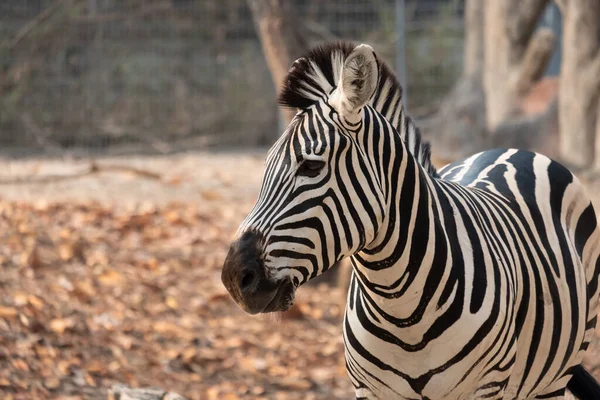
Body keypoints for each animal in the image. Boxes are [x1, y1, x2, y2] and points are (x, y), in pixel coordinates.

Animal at [220, 42, 600, 398]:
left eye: (311, 166)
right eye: (265, 166)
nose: (234, 279)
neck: (402, 311)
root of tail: (512, 150)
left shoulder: (487, 386)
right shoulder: (369, 388)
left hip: (555, 375)